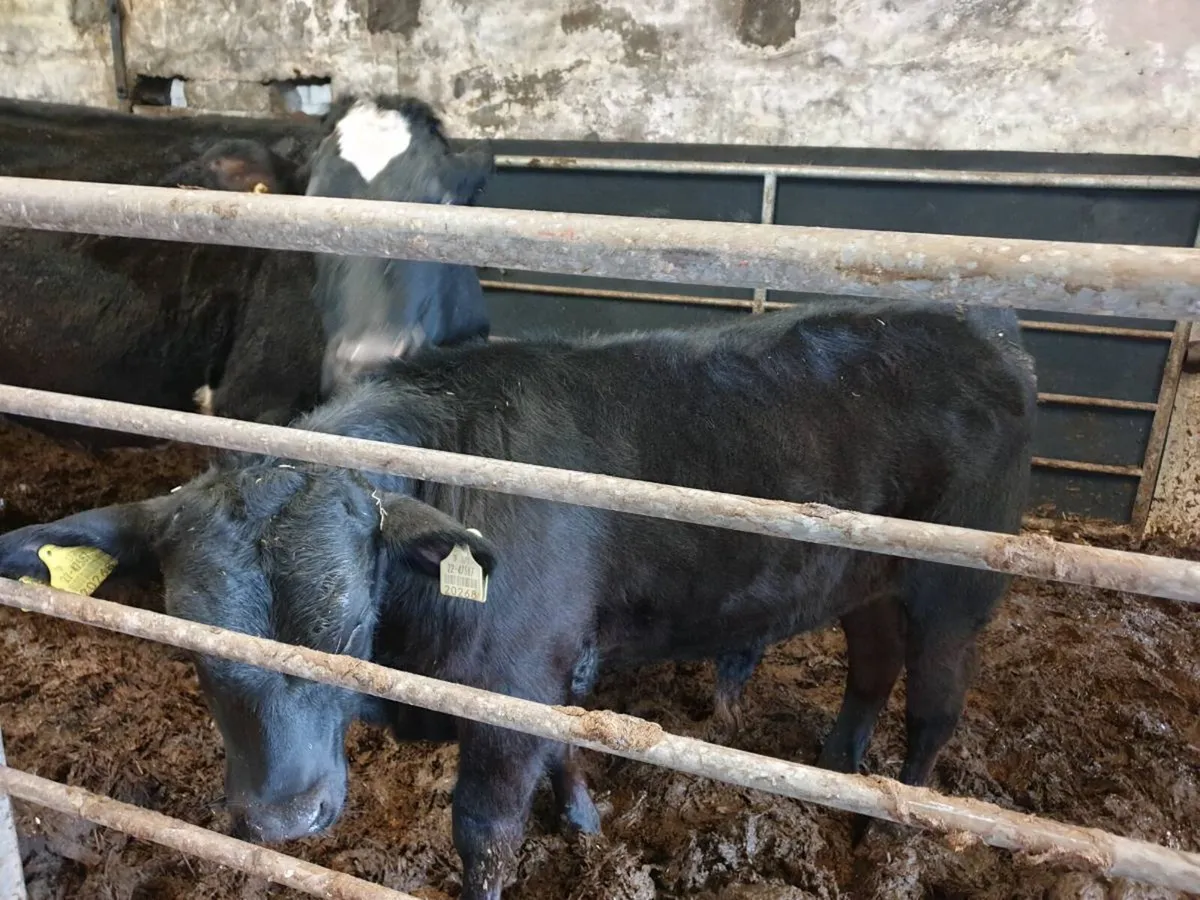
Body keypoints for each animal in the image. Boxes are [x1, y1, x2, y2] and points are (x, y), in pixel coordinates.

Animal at [0, 299, 1036, 899]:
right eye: (191, 641)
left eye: (345, 628)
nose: (283, 821)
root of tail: (979, 330)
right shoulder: (550, 670)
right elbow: (567, 743)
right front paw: (581, 815)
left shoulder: (512, 686)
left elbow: (486, 835)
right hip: (869, 579)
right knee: (872, 664)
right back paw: (840, 772)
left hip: (957, 586)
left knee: (935, 708)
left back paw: (893, 838)